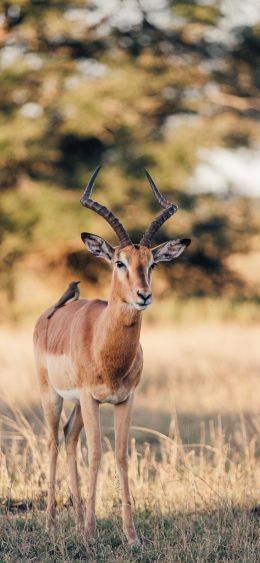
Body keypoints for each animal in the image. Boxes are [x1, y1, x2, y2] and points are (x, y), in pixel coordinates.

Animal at [33, 169, 191, 548]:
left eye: (151, 263)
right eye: (119, 262)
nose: (143, 295)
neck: (106, 350)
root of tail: (48, 314)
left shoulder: (124, 400)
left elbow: (119, 455)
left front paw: (130, 536)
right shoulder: (92, 399)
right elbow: (96, 455)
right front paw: (92, 534)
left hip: (77, 405)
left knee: (69, 438)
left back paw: (75, 522)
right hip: (52, 395)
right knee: (53, 442)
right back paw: (52, 525)